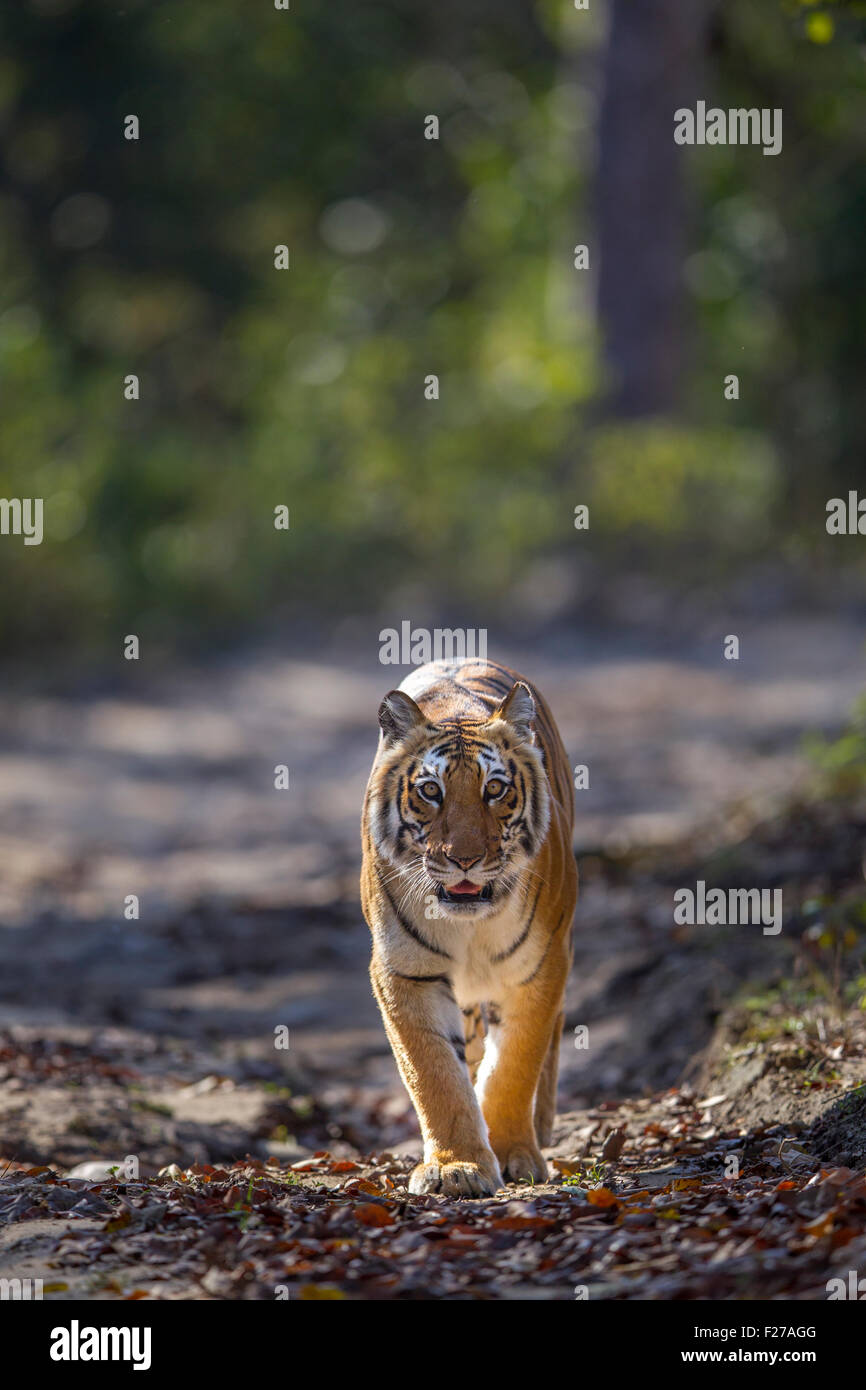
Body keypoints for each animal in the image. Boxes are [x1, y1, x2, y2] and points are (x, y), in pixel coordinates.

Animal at [358, 653, 575, 1195]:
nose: (465, 860)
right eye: (430, 791)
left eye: (494, 788)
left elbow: (515, 1065)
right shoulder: (405, 972)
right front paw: (457, 1166)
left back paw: (541, 1127)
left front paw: (516, 1153)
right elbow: (434, 1074)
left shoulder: (539, 967)